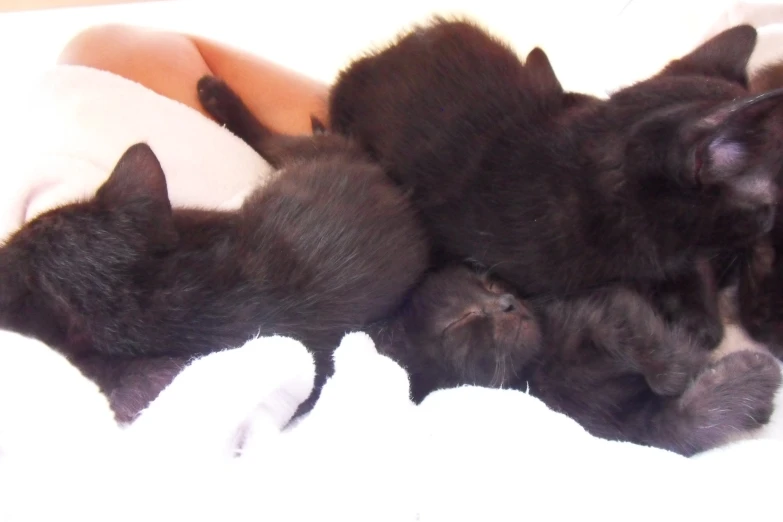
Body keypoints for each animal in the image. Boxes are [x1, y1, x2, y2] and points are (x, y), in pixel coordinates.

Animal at [376, 266, 783, 452]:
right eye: (463, 320)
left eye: (491, 284)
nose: (507, 302)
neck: (540, 366)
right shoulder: (632, 430)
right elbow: (686, 424)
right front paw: (753, 375)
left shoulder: (603, 304)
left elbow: (644, 337)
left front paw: (686, 367)